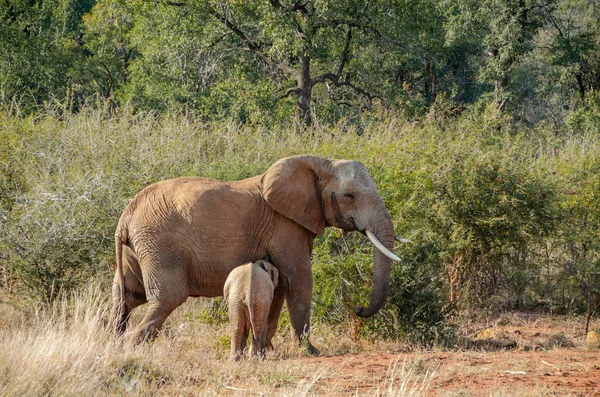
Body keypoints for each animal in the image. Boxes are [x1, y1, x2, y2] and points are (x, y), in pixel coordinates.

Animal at [110, 154, 400, 352]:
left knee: (126, 296)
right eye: (350, 196)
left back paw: (114, 344)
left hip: (138, 248)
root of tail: (126, 215)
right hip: (160, 245)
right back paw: (133, 348)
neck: (321, 163)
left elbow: (281, 287)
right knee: (167, 297)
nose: (359, 309)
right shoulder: (286, 226)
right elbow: (299, 280)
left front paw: (268, 350)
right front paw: (310, 352)